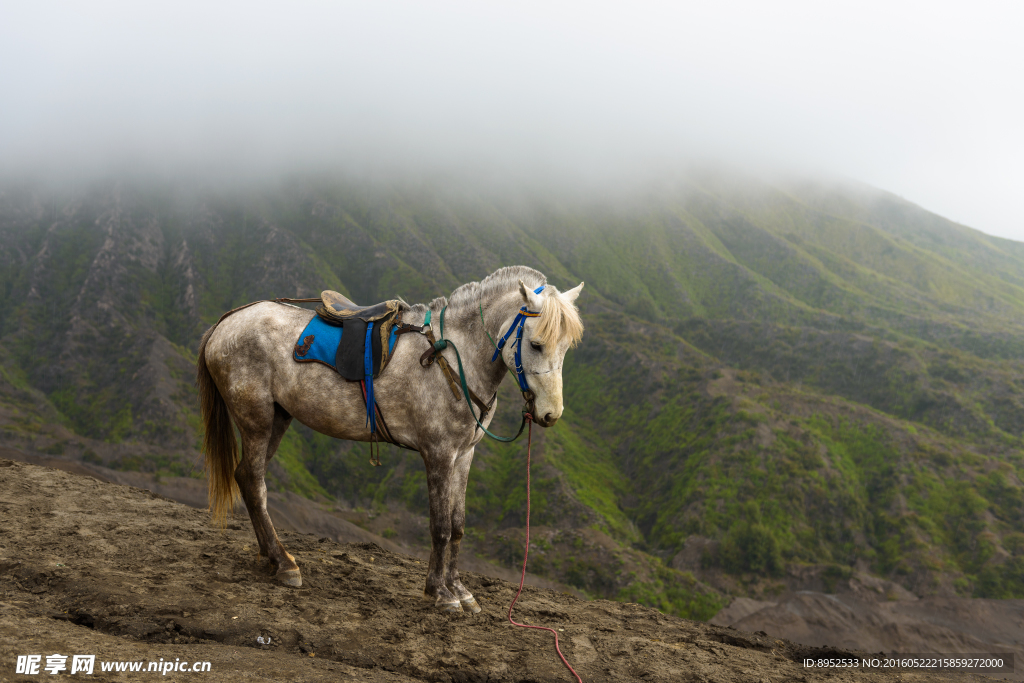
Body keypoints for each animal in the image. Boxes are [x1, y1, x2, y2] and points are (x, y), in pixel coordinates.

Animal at [194, 264, 585, 610]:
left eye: (566, 347)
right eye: (535, 345)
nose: (551, 414)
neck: (453, 356)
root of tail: (225, 322)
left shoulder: (464, 455)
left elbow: (458, 525)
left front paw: (459, 589)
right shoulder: (438, 454)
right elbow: (440, 526)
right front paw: (440, 593)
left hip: (278, 418)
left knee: (246, 477)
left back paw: (272, 556)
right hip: (256, 421)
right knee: (254, 482)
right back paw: (284, 563)